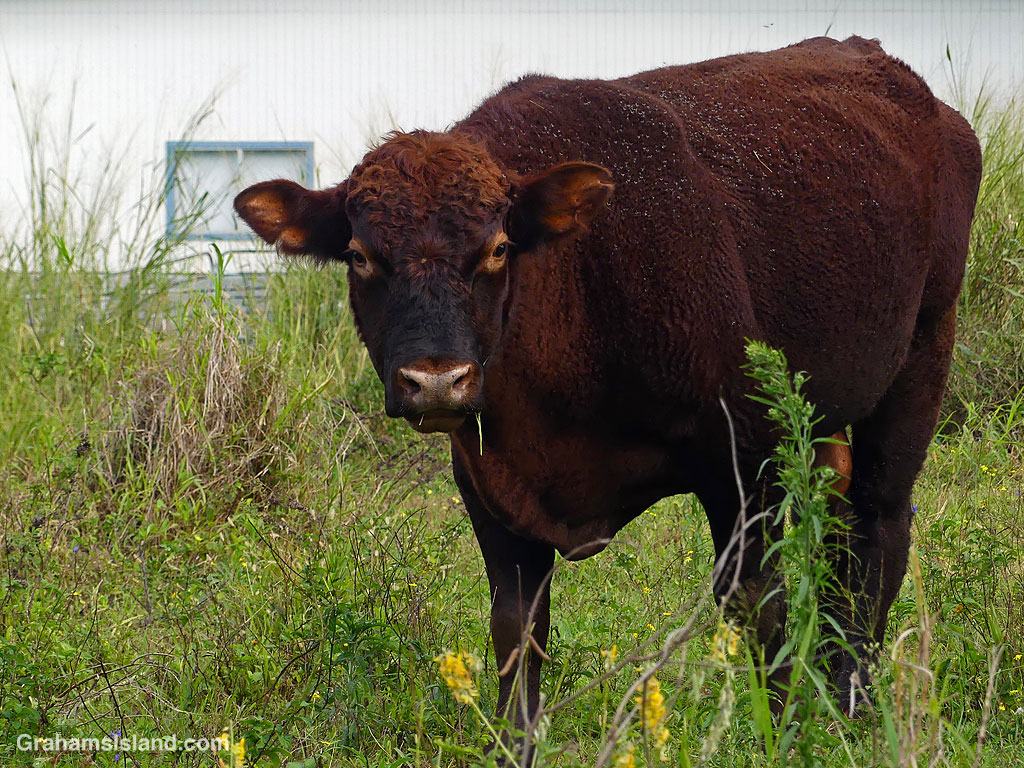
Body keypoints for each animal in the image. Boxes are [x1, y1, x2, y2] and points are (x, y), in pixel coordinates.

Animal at [235, 35, 981, 754]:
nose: (437, 380)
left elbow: (759, 613)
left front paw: (786, 735)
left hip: (922, 353)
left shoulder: (744, 465)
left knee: (878, 525)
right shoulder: (489, 489)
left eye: (499, 247)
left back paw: (853, 698)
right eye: (360, 256)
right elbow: (517, 640)